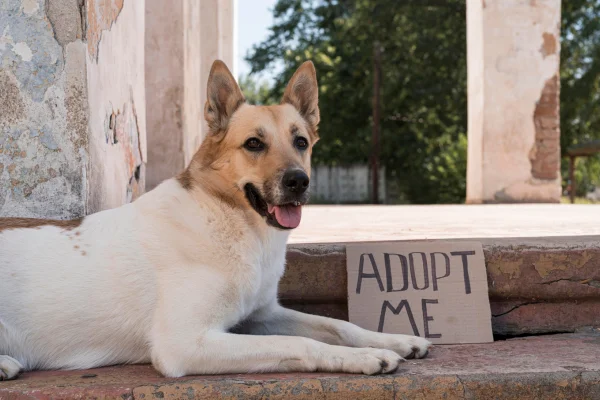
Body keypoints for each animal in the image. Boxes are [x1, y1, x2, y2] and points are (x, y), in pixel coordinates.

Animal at [1, 58, 432, 378]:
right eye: (254, 144)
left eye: (301, 142)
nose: (298, 181)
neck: (236, 223)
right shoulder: (186, 344)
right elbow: (302, 343)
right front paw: (364, 357)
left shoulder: (262, 314)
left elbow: (336, 326)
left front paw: (393, 339)